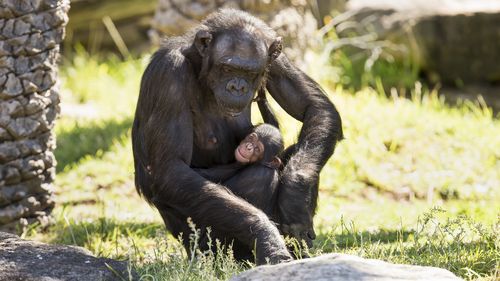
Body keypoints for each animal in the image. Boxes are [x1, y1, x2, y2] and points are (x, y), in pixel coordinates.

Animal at [133, 8, 344, 262]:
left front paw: (294, 194)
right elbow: (171, 168)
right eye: (228, 68)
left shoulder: (276, 60)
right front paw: (266, 236)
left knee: (297, 151)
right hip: (198, 241)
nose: (237, 87)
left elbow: (315, 107)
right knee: (260, 176)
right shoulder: (168, 74)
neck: (200, 68)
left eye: (250, 72)